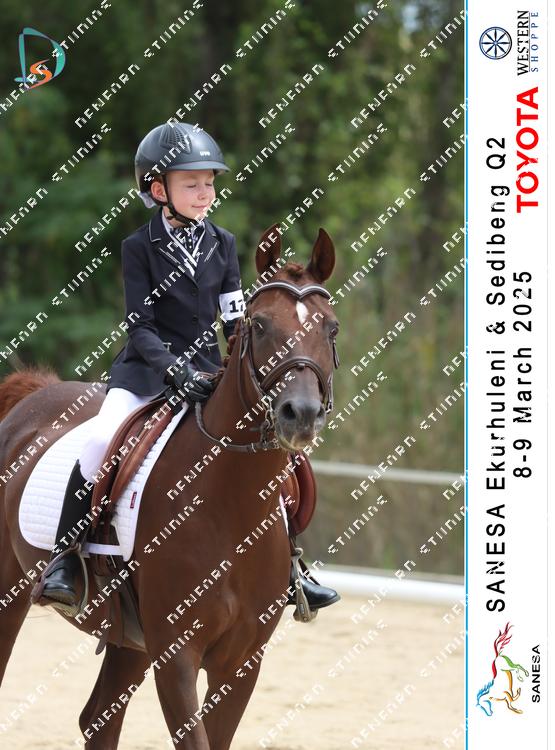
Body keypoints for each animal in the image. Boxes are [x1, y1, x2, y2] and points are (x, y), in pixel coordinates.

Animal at [0, 224, 339, 748]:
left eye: (331, 328)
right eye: (260, 325)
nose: (299, 415)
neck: (230, 506)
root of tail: (34, 395)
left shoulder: (242, 662)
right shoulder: (175, 655)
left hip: (129, 641)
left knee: (98, 719)